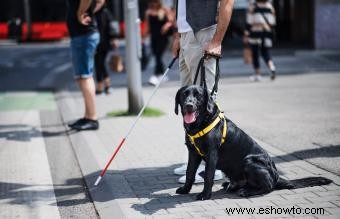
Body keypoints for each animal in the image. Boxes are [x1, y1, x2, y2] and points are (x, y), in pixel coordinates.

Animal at [174, 85, 330, 200]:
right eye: (184, 95)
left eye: (198, 96)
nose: (189, 105)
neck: (199, 125)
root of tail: (276, 176)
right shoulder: (193, 153)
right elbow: (189, 172)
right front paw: (185, 189)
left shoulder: (211, 154)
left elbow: (208, 176)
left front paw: (205, 195)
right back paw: (231, 185)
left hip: (249, 161)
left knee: (268, 187)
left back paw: (247, 191)